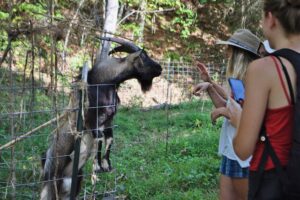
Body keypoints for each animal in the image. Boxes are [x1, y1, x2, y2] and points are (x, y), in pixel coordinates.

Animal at [40, 37, 162, 198]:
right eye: (143, 57)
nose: (160, 68)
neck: (104, 84)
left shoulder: (109, 120)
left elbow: (109, 139)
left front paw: (106, 165)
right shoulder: (92, 121)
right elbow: (98, 139)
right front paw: (98, 166)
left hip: (75, 181)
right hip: (50, 184)